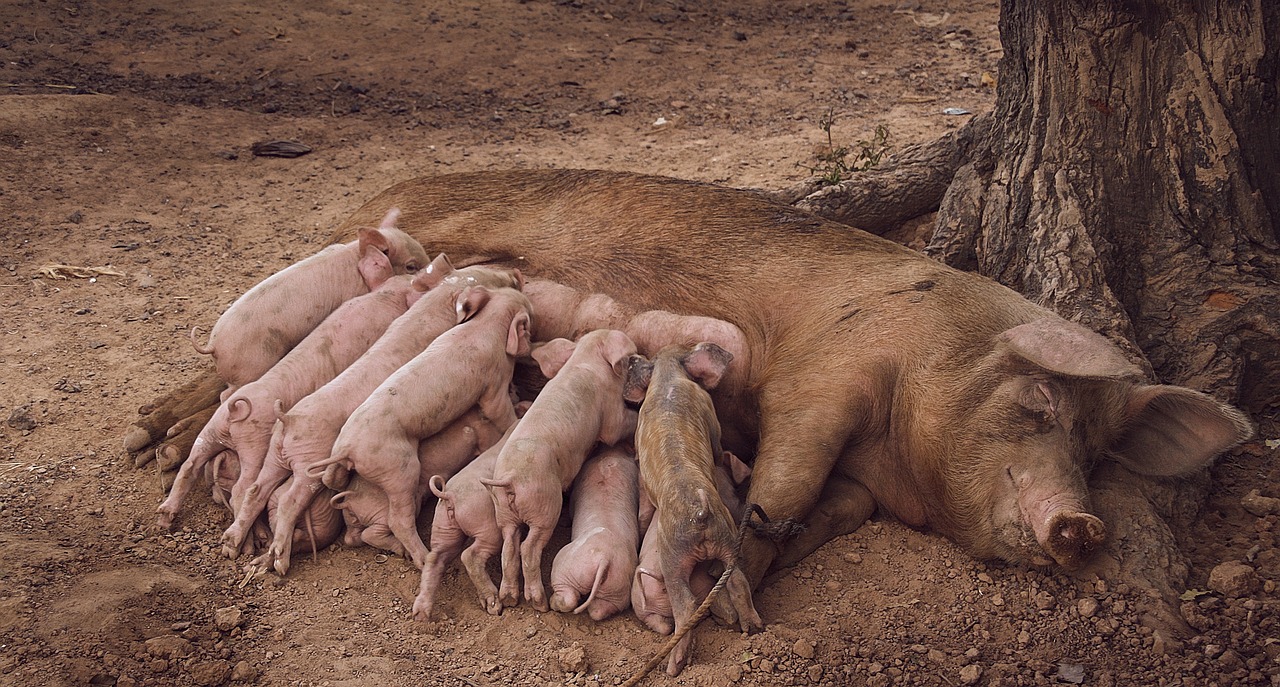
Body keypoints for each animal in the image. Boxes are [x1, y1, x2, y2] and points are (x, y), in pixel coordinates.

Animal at [327, 168, 1249, 585]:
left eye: (1096, 452)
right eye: (1040, 400)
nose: (1083, 525)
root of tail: (374, 199)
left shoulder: (864, 486)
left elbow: (823, 509)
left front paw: (757, 553)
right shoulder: (830, 370)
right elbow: (791, 467)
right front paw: (737, 560)